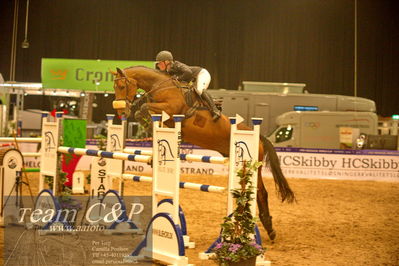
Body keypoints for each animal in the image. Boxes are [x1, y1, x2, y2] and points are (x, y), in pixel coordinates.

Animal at [111, 66, 296, 241]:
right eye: (114, 87)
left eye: (122, 86)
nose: (121, 113)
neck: (160, 85)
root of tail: (257, 136)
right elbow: (146, 114)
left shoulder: (170, 109)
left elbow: (143, 108)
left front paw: (146, 122)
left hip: (252, 167)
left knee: (261, 193)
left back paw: (268, 229)